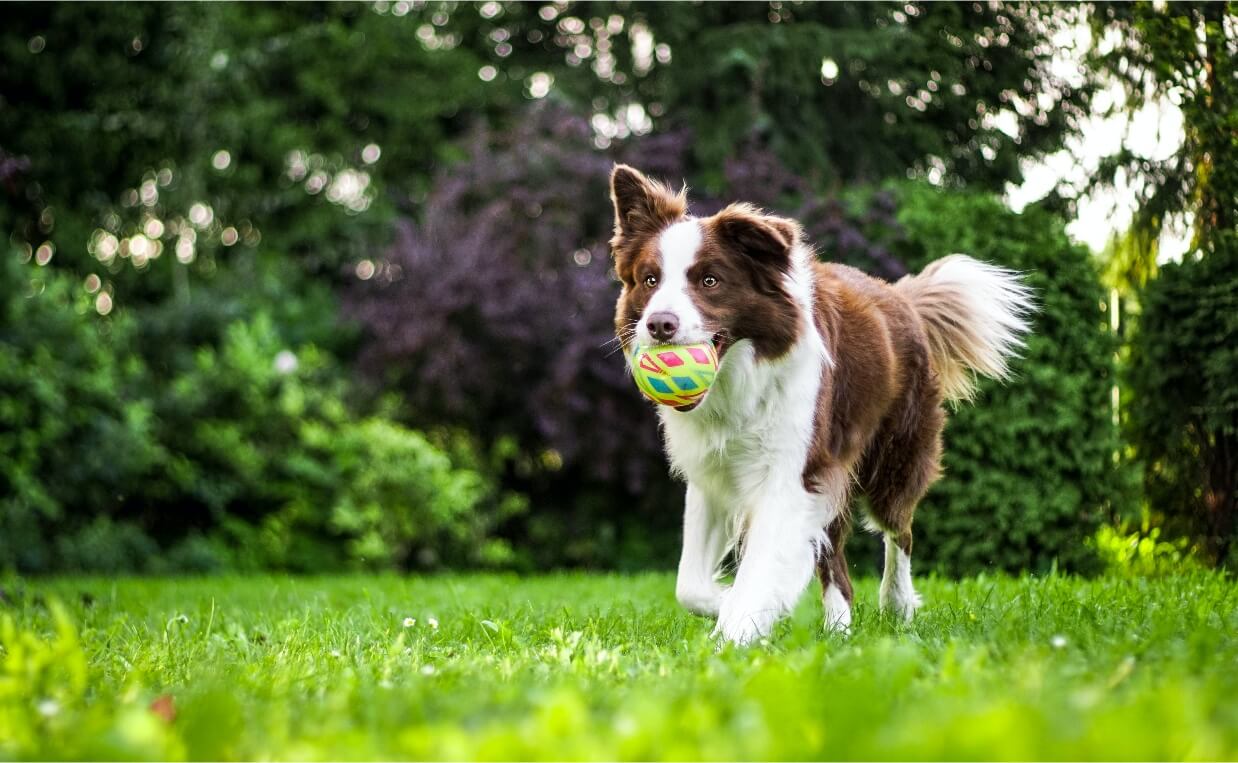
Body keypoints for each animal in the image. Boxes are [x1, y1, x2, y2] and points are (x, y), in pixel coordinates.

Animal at [609, 165, 1034, 644]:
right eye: (650, 280)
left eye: (710, 281)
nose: (659, 324)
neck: (739, 379)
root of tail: (902, 297)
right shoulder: (714, 473)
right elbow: (690, 585)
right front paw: (732, 604)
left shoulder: (792, 473)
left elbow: (760, 567)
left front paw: (736, 631)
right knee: (836, 563)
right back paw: (839, 629)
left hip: (893, 458)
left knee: (899, 530)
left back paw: (897, 604)